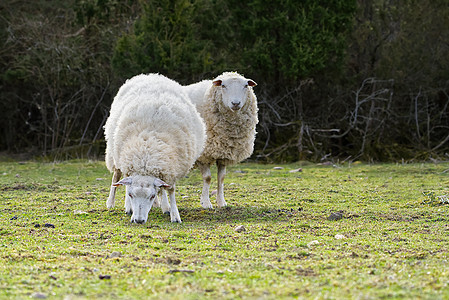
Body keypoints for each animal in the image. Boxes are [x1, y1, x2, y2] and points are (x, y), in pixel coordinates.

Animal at [103, 73, 205, 223]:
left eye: (151, 196)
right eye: (131, 195)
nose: (139, 220)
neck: (146, 156)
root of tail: (150, 75)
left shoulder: (170, 168)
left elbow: (170, 190)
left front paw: (174, 214)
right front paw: (131, 211)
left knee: (161, 188)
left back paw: (164, 206)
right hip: (115, 155)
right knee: (116, 177)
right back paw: (113, 203)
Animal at [182, 72, 260, 209]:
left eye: (246, 85)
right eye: (223, 85)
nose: (235, 103)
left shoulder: (224, 153)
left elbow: (221, 178)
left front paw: (221, 202)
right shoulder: (203, 154)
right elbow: (207, 178)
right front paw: (206, 203)